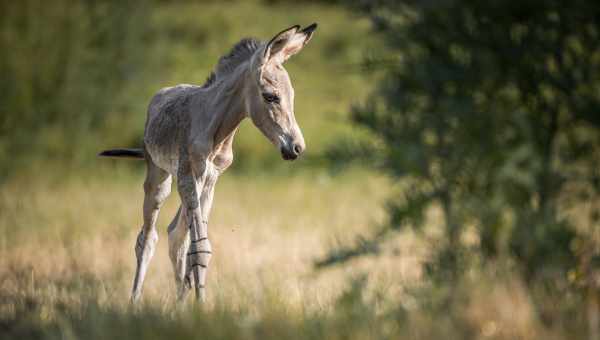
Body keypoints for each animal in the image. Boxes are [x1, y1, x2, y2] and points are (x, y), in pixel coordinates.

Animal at [99, 24, 318, 302]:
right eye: (270, 97)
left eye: (291, 96)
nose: (297, 148)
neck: (217, 127)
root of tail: (162, 92)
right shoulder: (187, 174)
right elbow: (199, 247)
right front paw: (200, 305)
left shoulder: (211, 178)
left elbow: (197, 246)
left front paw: (196, 304)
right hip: (159, 176)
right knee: (147, 238)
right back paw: (134, 302)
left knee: (175, 235)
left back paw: (179, 301)